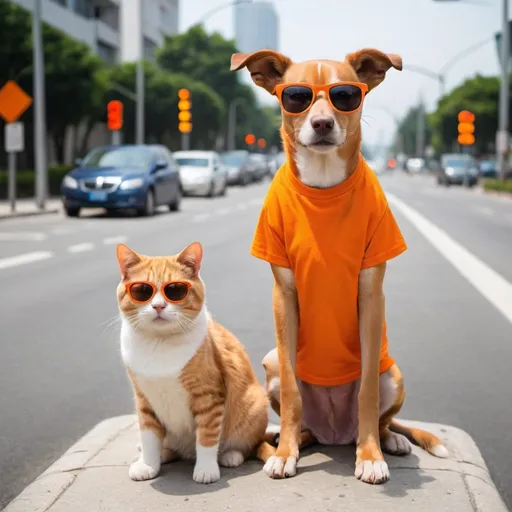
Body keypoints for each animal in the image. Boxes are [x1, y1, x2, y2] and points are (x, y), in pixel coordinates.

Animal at [116, 241, 276, 484]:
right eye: (142, 290)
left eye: (175, 290)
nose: (158, 306)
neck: (159, 342)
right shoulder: (143, 400)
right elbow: (149, 436)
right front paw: (148, 465)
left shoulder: (209, 396)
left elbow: (207, 437)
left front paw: (206, 469)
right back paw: (162, 454)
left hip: (254, 403)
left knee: (249, 445)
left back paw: (230, 455)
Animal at [231, 48, 448, 484]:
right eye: (295, 96)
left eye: (345, 94)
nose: (322, 123)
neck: (324, 184)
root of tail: (335, 434)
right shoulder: (284, 296)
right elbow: (293, 391)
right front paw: (285, 453)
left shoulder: (371, 294)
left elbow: (366, 390)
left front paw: (371, 456)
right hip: (271, 362)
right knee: (302, 413)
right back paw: (295, 438)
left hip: (393, 374)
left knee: (383, 419)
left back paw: (388, 441)